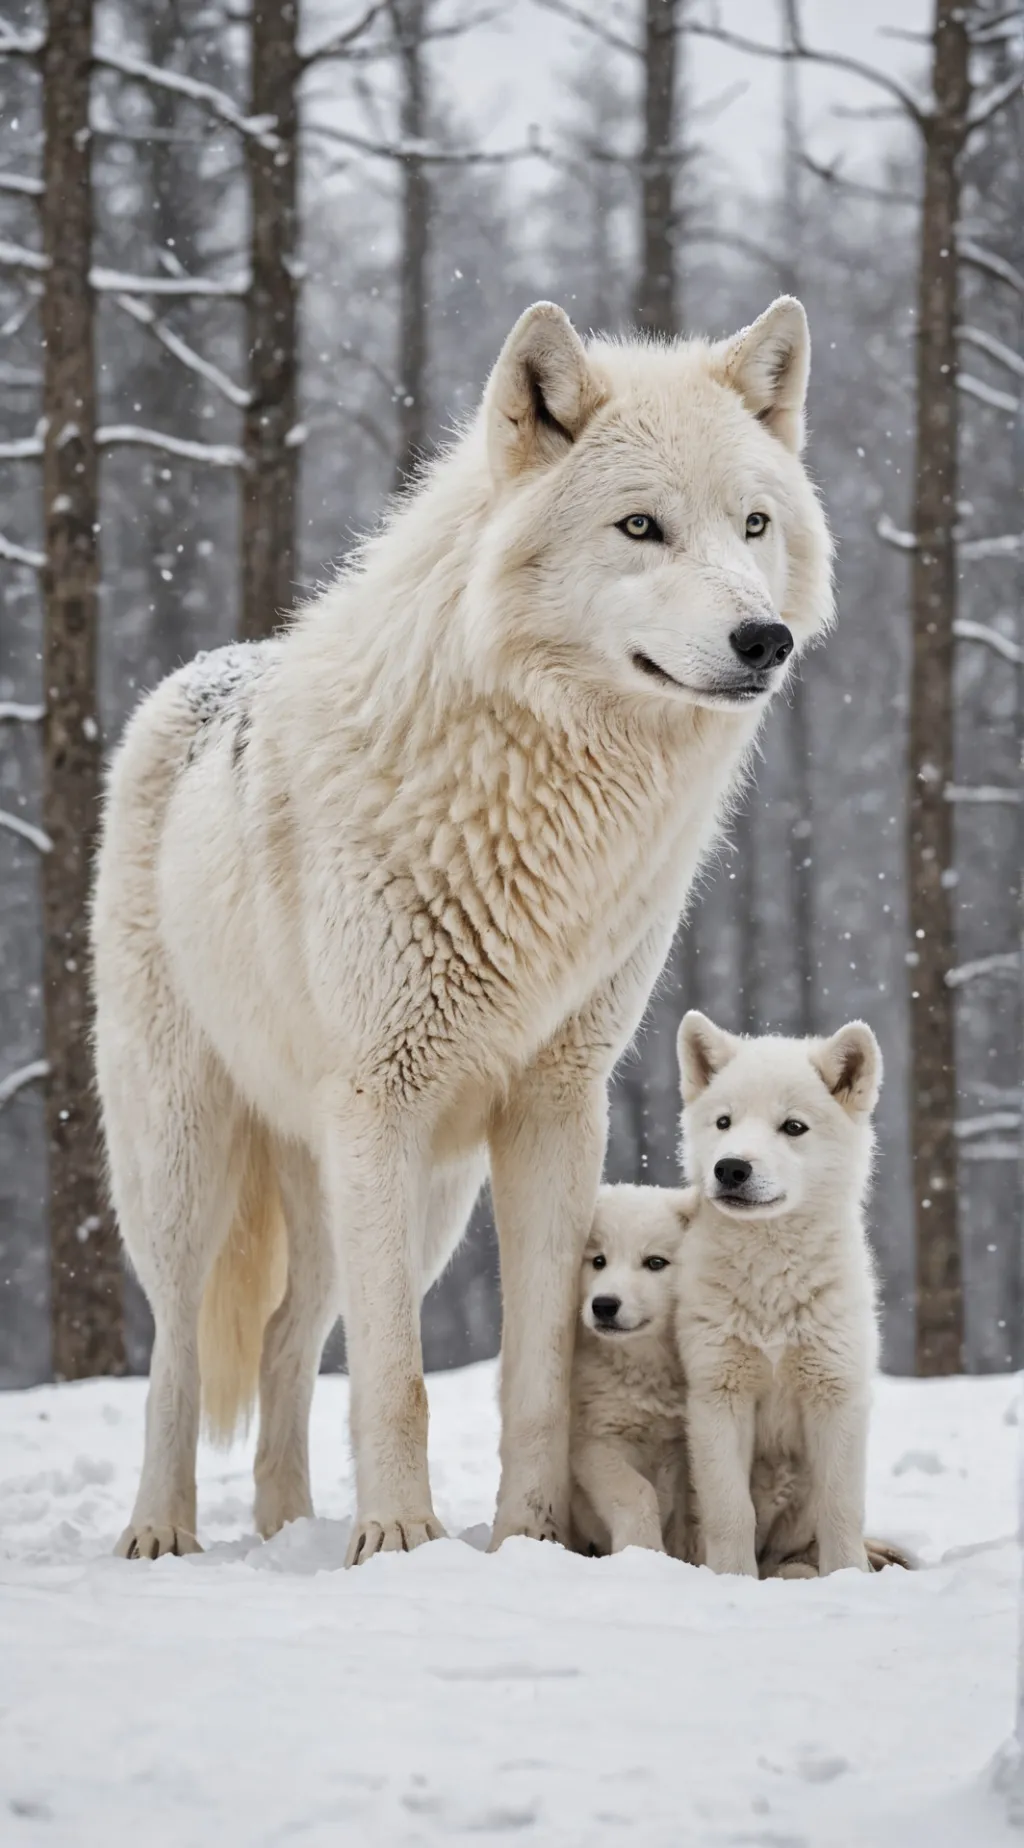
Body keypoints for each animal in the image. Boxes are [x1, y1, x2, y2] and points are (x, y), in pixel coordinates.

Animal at [92, 295, 833, 1564]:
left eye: (754, 524)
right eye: (642, 527)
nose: (762, 639)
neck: (535, 791)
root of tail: (197, 672)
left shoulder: (554, 1104)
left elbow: (534, 1371)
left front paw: (528, 1540)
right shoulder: (381, 1097)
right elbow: (397, 1376)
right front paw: (398, 1538)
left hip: (401, 1195)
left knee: (289, 1339)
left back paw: (288, 1528)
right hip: (192, 1157)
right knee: (179, 1349)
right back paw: (160, 1532)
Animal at [675, 1012, 882, 1578]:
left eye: (793, 1127)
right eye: (724, 1122)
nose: (731, 1168)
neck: (769, 1280)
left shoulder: (835, 1395)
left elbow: (841, 1508)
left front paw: (848, 1580)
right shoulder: (719, 1397)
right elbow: (730, 1512)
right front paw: (733, 1580)